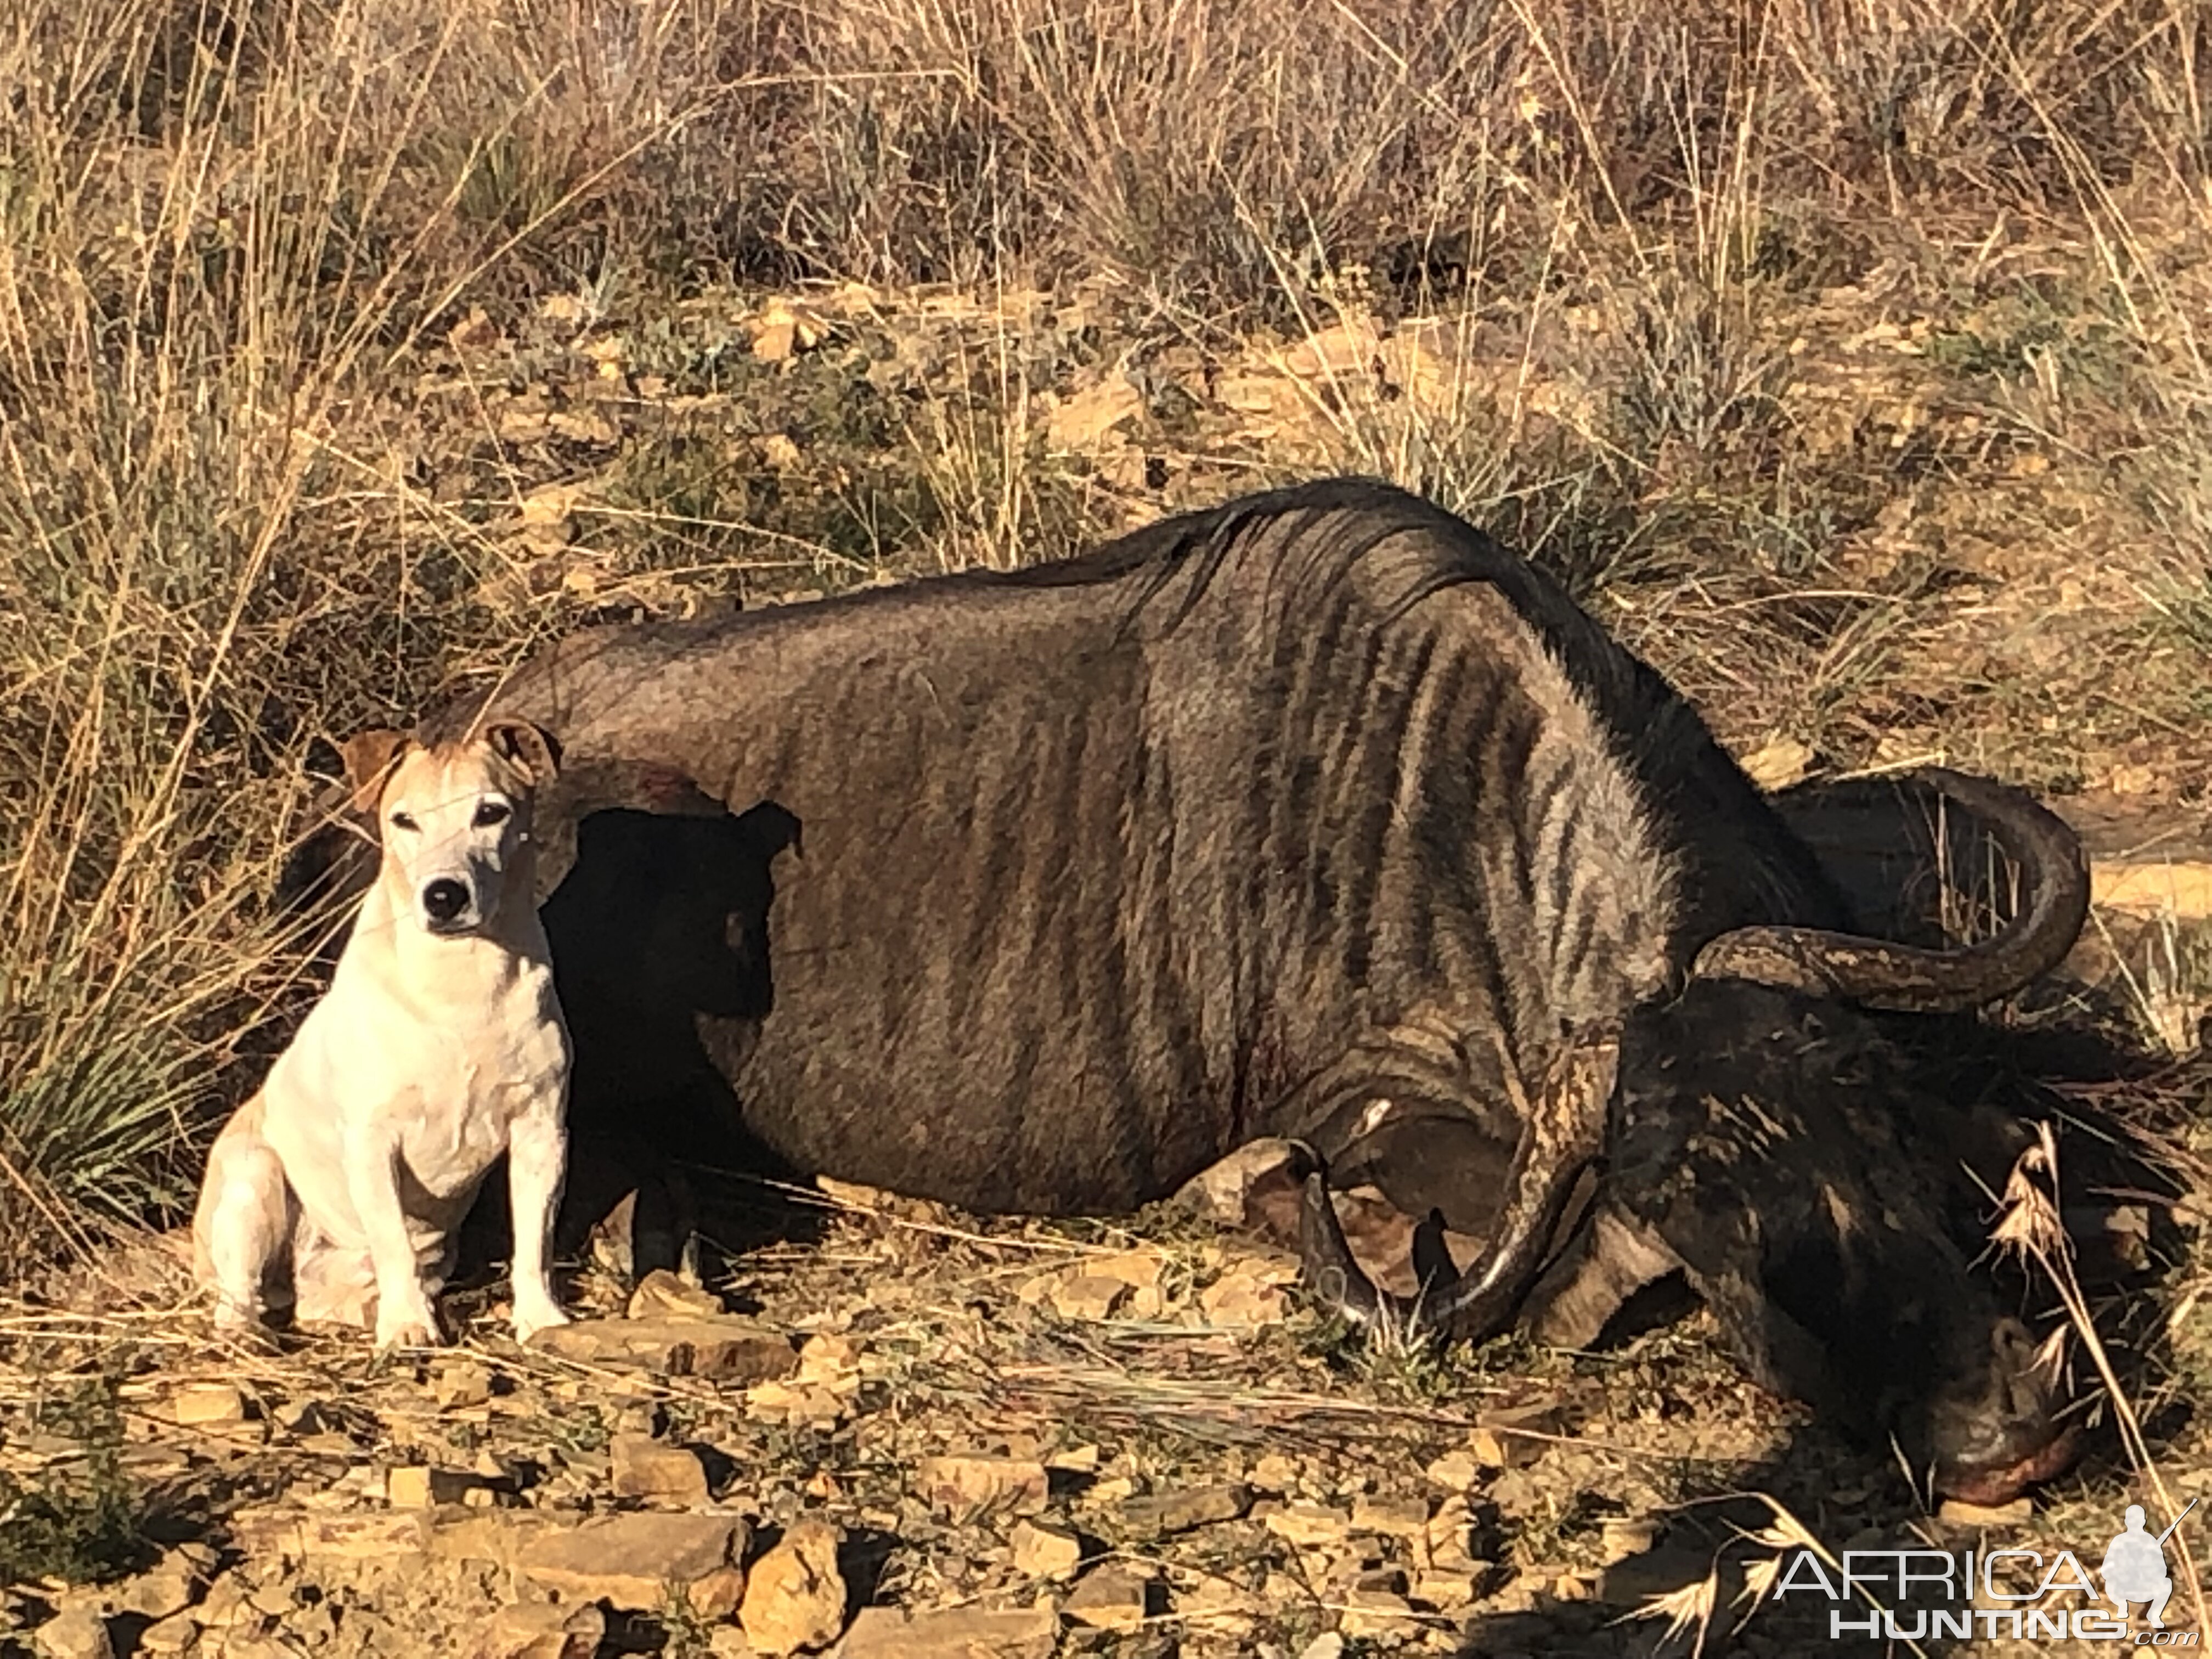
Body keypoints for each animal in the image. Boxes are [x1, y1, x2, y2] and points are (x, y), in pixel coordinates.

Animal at [192, 725, 571, 1353]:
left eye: (491, 813)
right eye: (404, 820)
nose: (444, 895)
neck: (461, 985)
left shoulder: (541, 1128)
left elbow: (535, 1239)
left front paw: (540, 1318)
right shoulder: (374, 1140)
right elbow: (393, 1238)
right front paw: (409, 1326)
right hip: (254, 1176)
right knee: (237, 1292)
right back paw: (247, 1333)